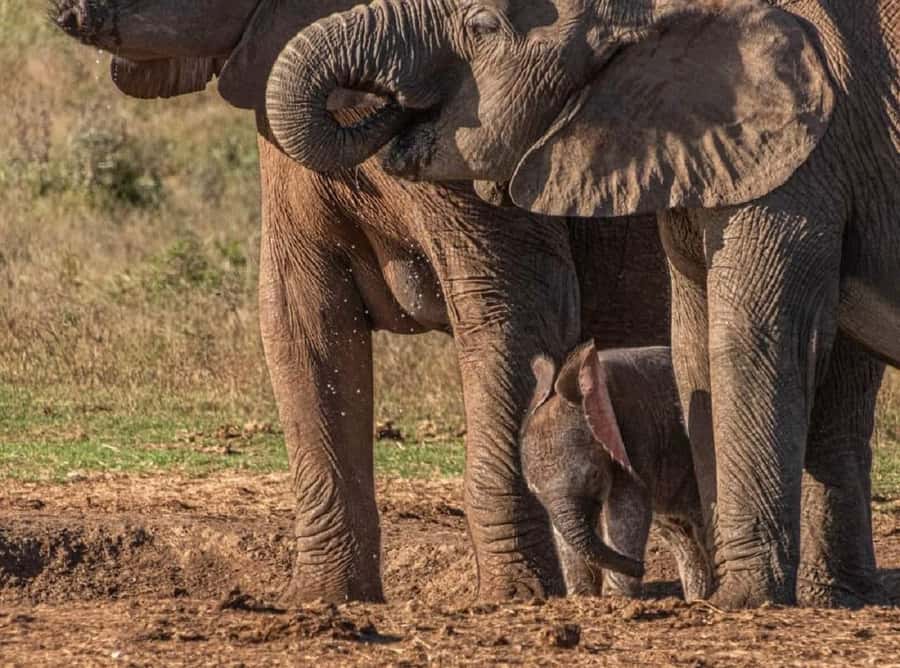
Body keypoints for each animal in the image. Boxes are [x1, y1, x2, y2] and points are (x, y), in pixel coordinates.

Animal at [522, 343, 711, 602]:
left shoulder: (635, 434)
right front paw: (582, 597)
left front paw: (618, 598)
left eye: (594, 475)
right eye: (533, 491)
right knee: (679, 532)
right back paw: (698, 599)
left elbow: (627, 506)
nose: (643, 567)